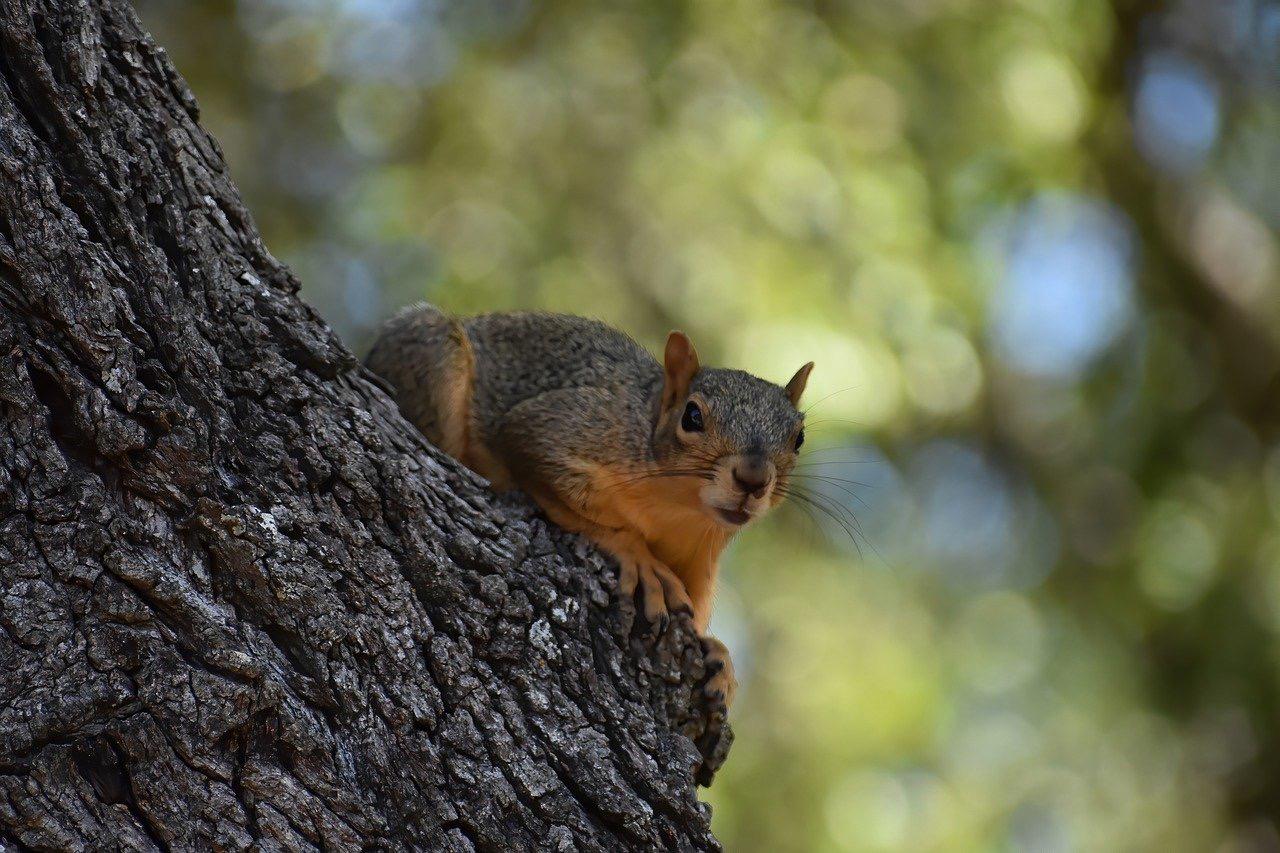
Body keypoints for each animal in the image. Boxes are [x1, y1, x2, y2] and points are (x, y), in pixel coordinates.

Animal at [366, 302, 814, 701]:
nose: (753, 479)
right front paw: (637, 554)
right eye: (692, 417)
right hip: (436, 356)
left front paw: (716, 653)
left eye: (799, 437)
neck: (681, 511)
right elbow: (545, 468)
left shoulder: (700, 558)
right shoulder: (566, 428)